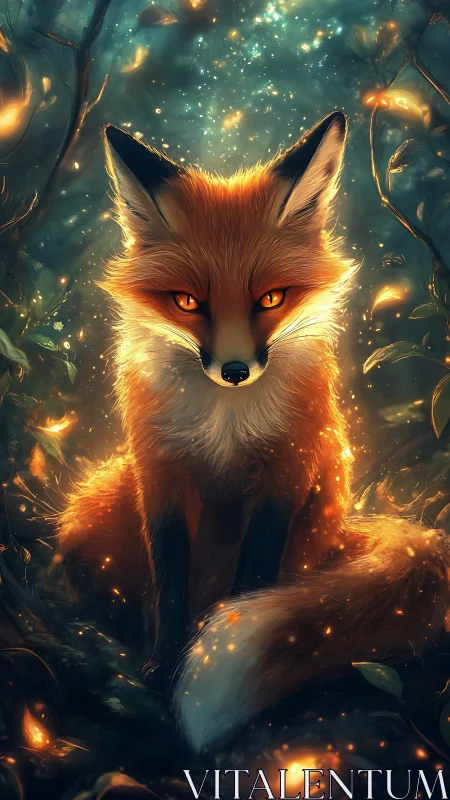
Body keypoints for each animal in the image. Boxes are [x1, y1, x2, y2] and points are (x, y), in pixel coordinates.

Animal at [57, 111, 450, 752]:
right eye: (186, 301)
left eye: (271, 298)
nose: (236, 370)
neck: (227, 423)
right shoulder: (159, 473)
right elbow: (169, 584)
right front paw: (162, 667)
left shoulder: (284, 472)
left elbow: (252, 582)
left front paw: (211, 655)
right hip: (90, 514)